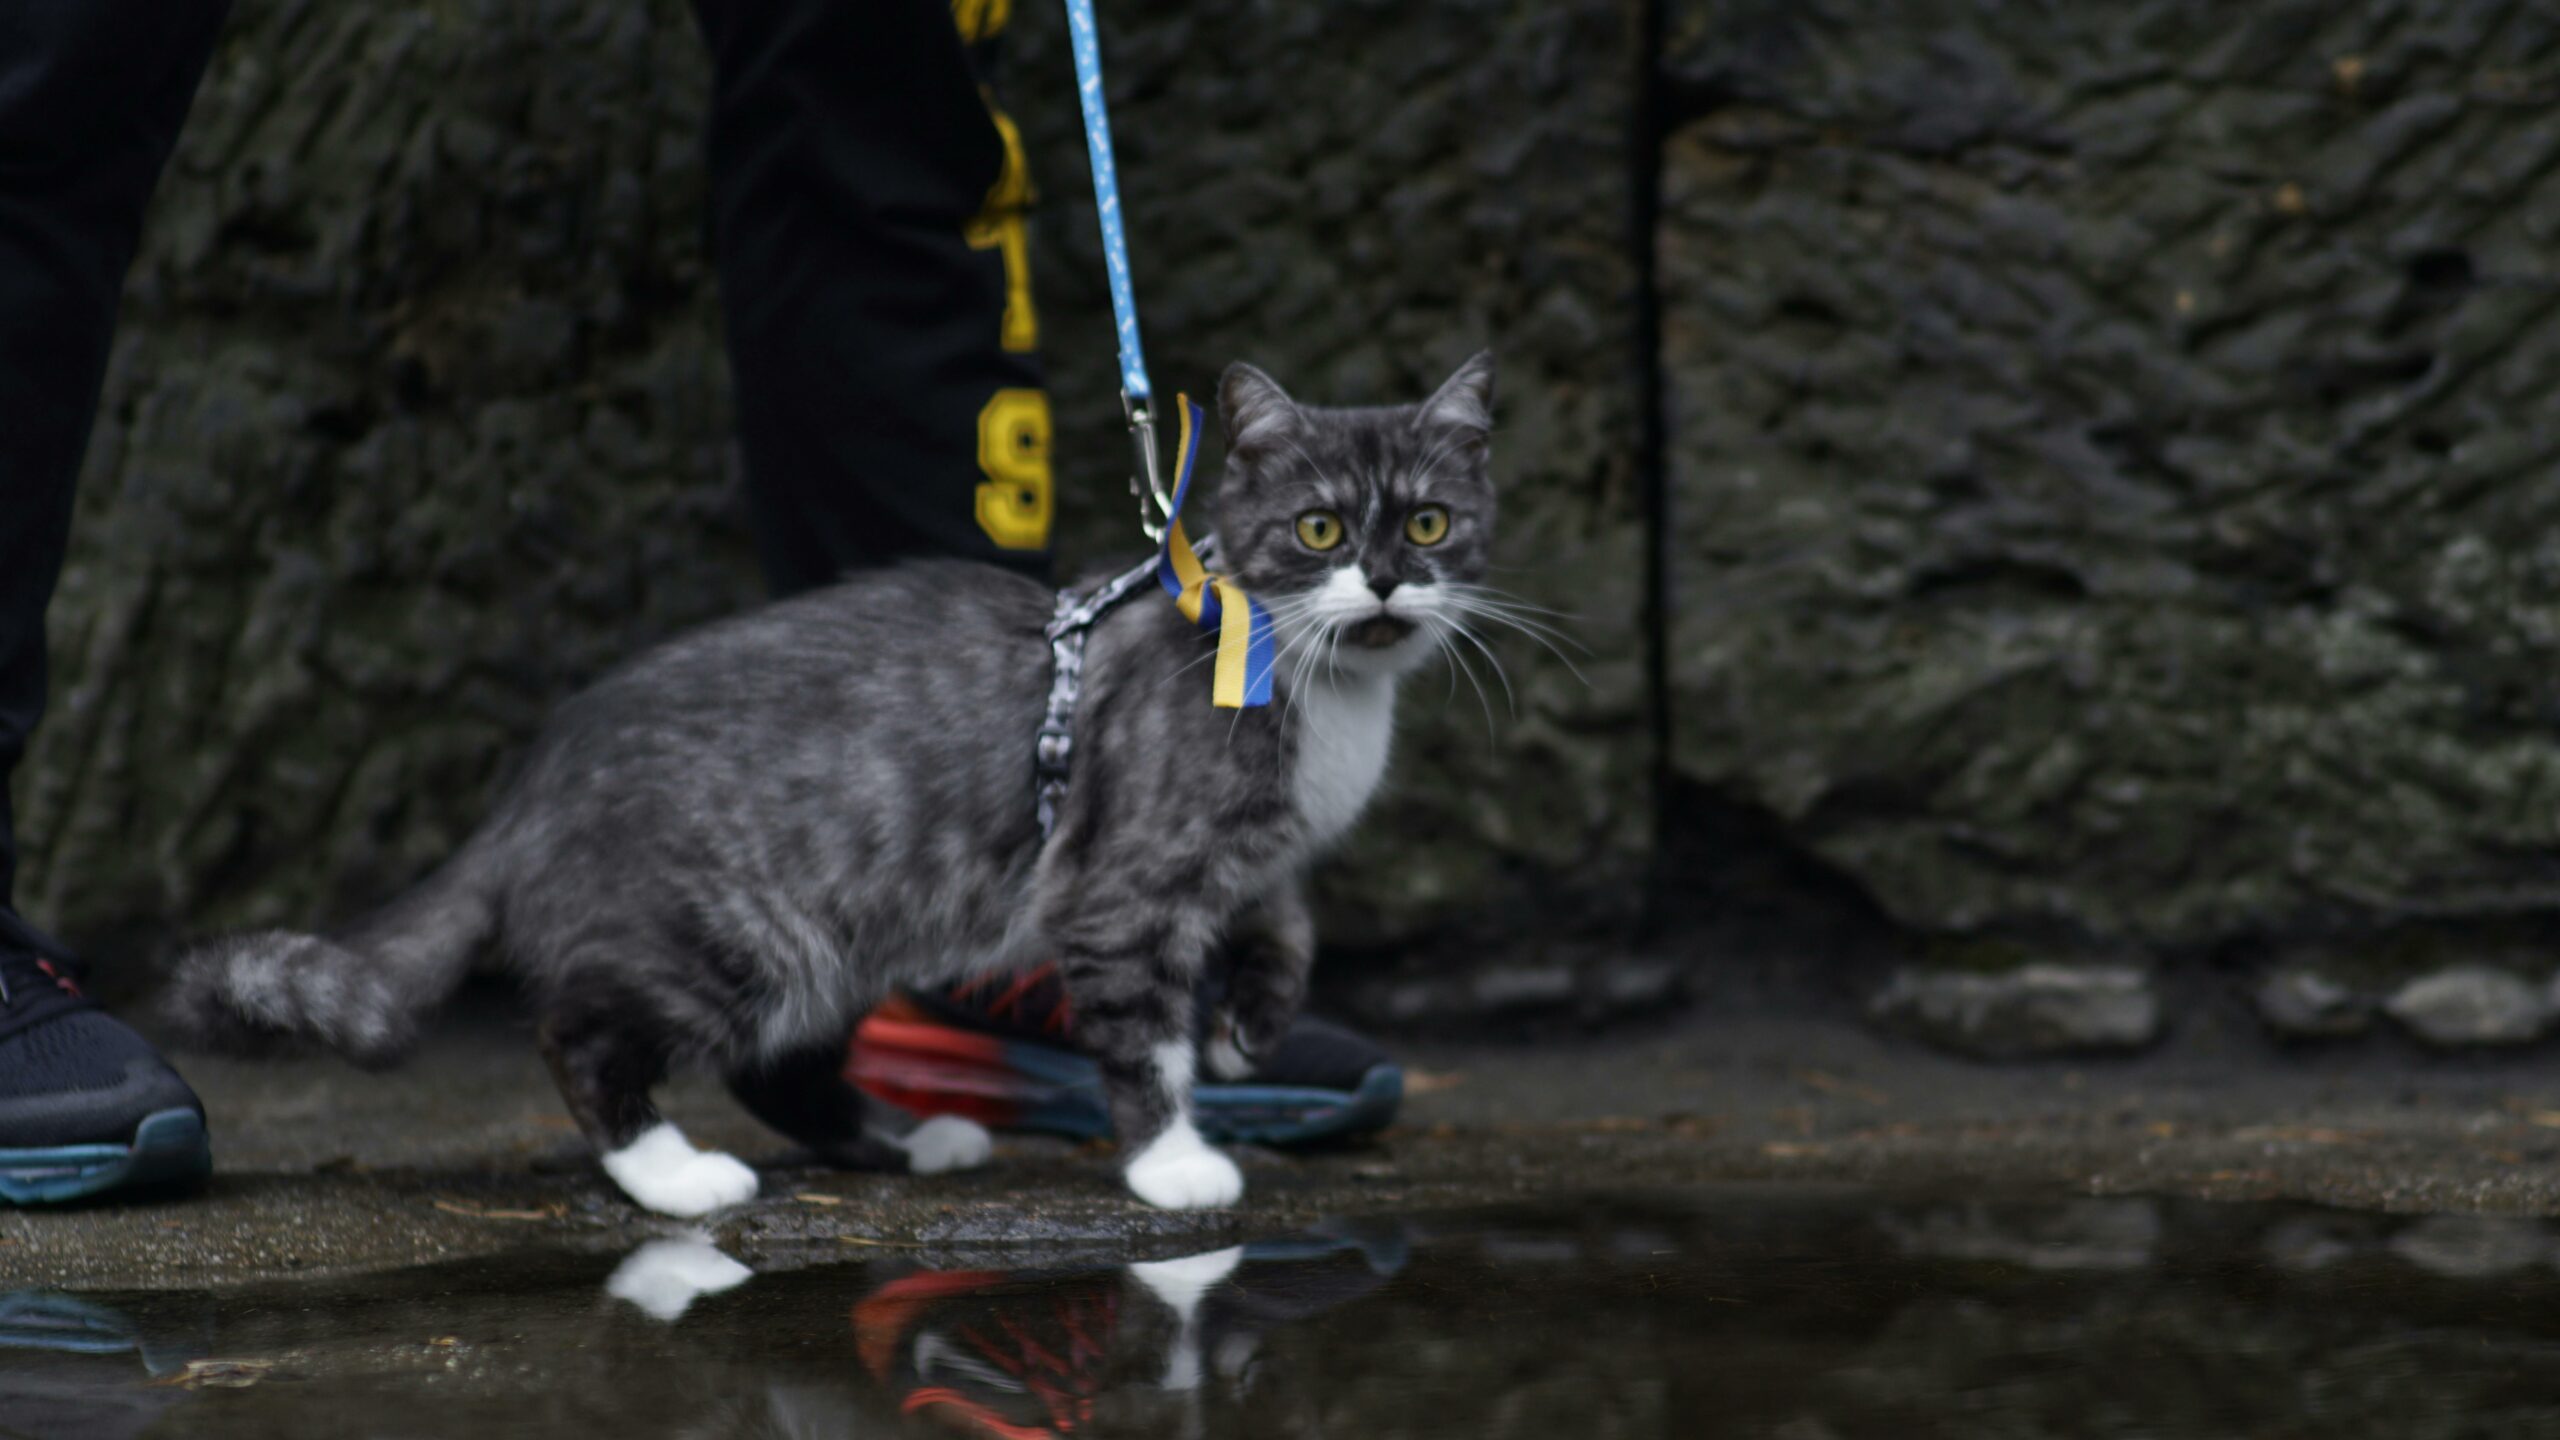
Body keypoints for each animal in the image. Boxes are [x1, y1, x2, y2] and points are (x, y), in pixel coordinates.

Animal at [170, 351, 1495, 1209]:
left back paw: (907, 1149)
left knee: (784, 1064)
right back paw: (673, 1178)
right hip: (738, 931)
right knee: (583, 1033)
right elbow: (1141, 1036)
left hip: (844, 934)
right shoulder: (1116, 890)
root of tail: (532, 788)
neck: (1309, 673)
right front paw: (1174, 1163)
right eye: (1319, 531)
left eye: (1430, 524)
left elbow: (1289, 921)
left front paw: (1252, 1021)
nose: (1385, 581)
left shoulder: (1253, 858)